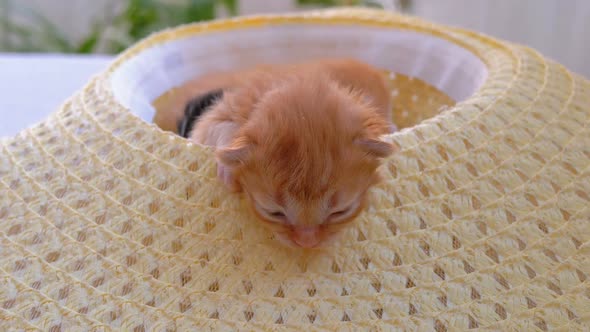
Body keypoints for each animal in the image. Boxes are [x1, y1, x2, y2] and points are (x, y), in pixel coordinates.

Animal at [173, 58, 398, 248]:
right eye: (274, 212)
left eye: (340, 211)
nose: (307, 242)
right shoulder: (227, 108)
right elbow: (213, 126)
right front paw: (228, 167)